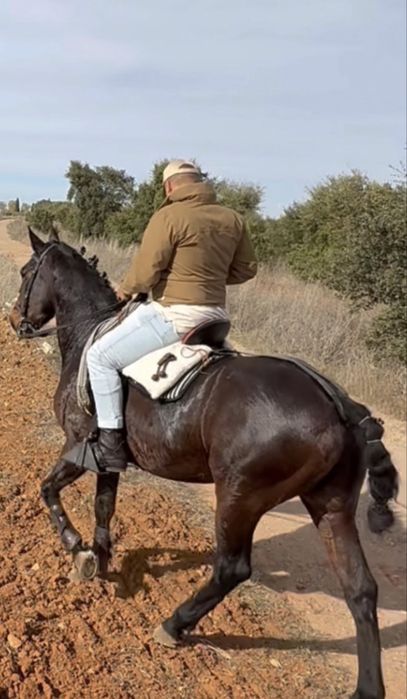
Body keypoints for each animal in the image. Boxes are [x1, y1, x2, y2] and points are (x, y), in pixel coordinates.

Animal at [9, 227, 399, 699]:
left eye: (27, 272)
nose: (14, 320)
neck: (88, 331)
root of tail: (339, 404)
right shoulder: (107, 458)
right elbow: (104, 507)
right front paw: (101, 559)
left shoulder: (77, 447)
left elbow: (48, 490)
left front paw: (77, 549)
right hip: (331, 505)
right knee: (360, 589)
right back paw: (367, 687)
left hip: (239, 497)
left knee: (232, 568)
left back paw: (174, 625)